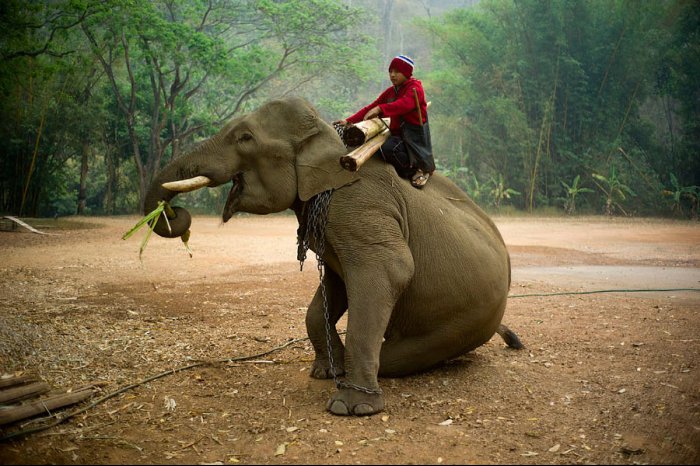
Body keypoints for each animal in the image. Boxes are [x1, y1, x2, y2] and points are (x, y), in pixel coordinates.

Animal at [145, 94, 524, 416]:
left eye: (245, 138)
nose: (176, 213)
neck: (328, 140)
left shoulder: (359, 207)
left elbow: (388, 271)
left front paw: (352, 406)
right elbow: (332, 289)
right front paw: (326, 372)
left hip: (459, 326)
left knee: (397, 358)